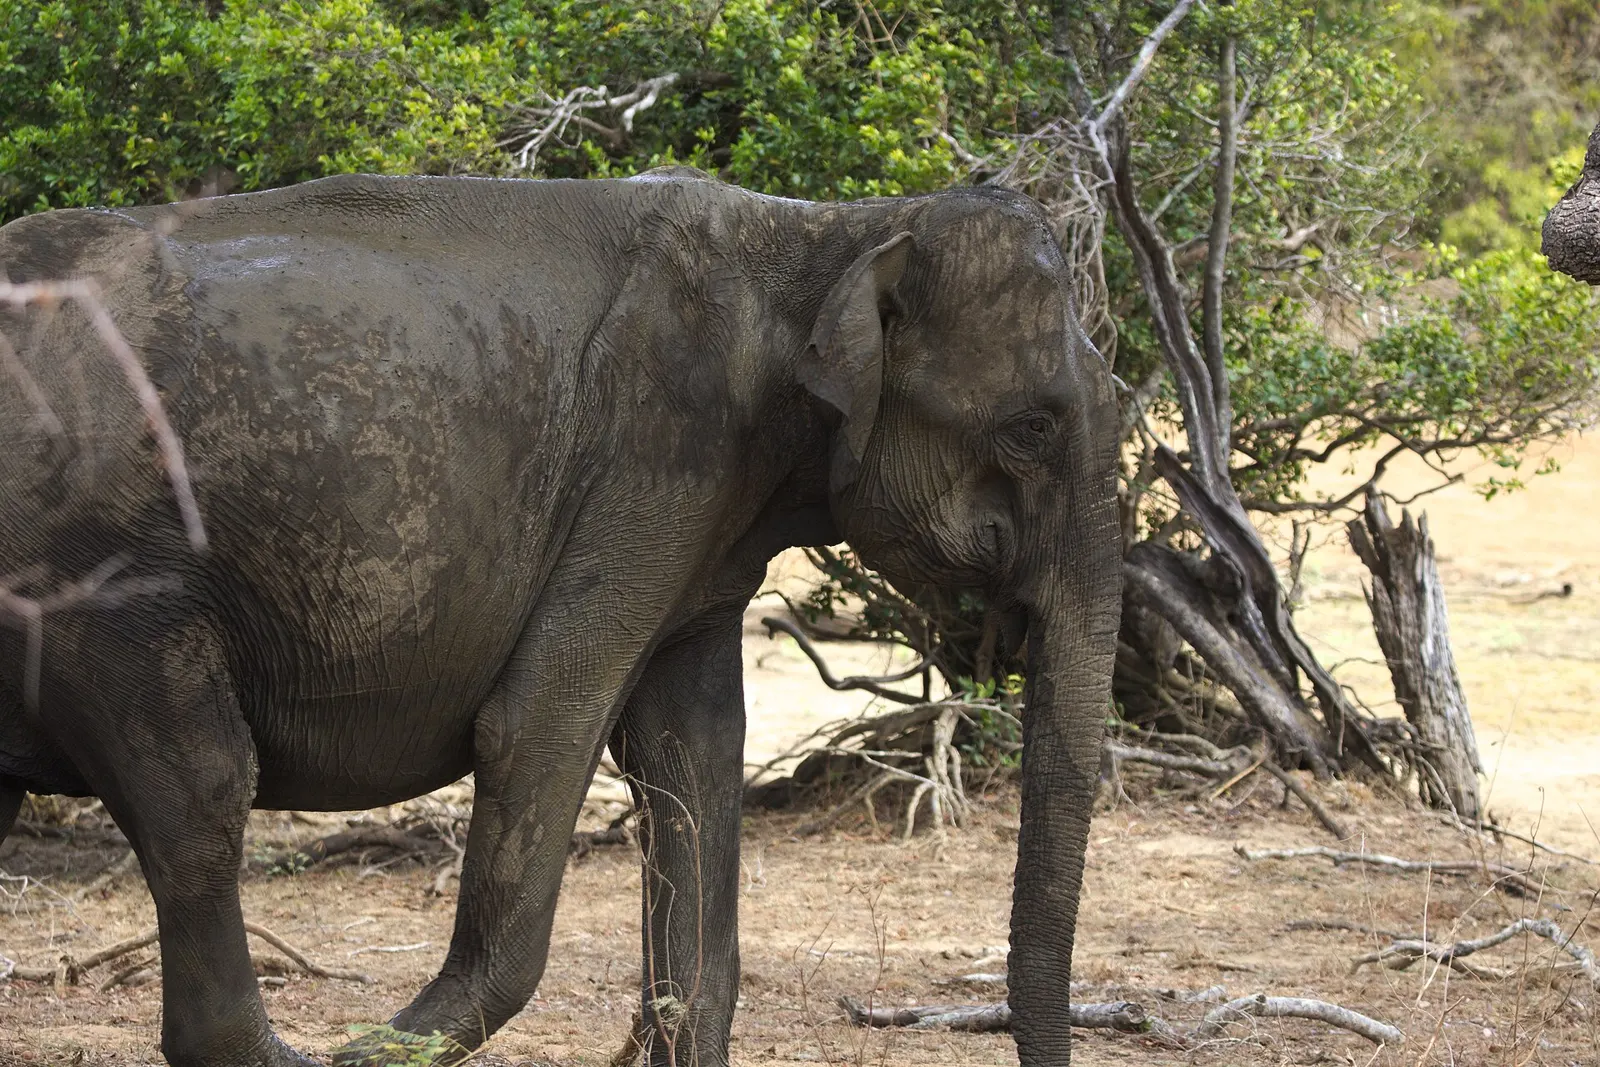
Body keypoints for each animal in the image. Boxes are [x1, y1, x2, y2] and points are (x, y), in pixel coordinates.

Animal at [0, 168, 1122, 1066]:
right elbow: (537, 724)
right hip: (101, 583)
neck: (836, 231)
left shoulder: (703, 525)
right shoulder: (657, 459)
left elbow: (692, 759)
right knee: (203, 793)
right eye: (1032, 426)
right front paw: (379, 1047)